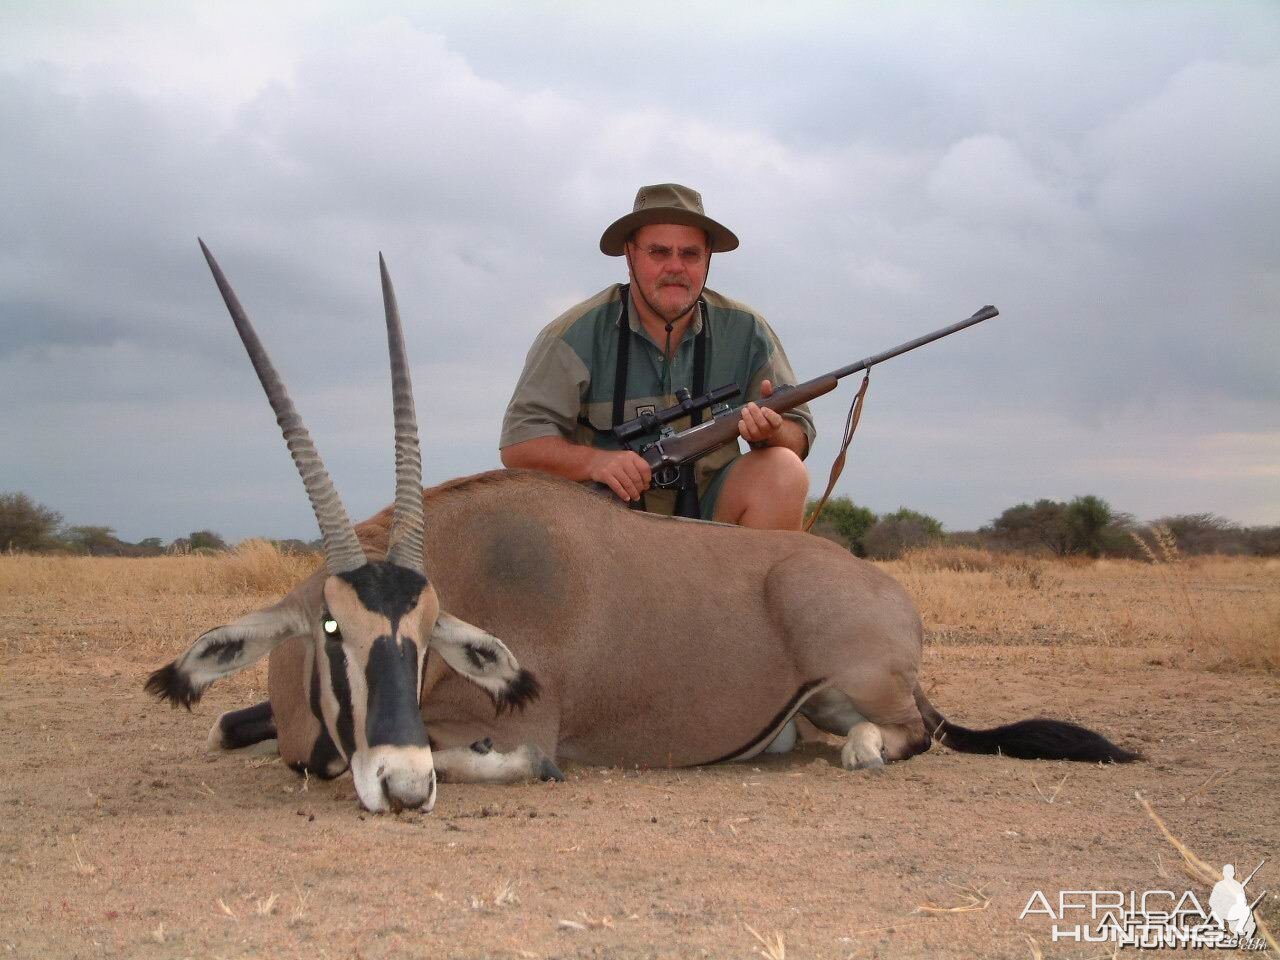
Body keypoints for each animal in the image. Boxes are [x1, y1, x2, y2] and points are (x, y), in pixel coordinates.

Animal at [145, 245, 1136, 814]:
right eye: (330, 628)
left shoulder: (516, 726)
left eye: (429, 632)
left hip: (859, 678)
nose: (401, 783)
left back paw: (852, 749)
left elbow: (517, 758)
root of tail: (883, 589)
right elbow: (229, 727)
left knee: (904, 734)